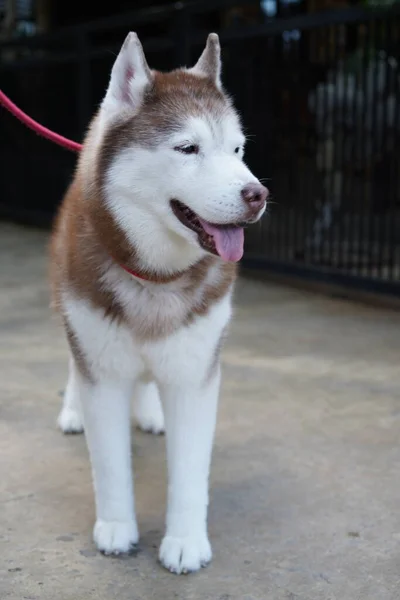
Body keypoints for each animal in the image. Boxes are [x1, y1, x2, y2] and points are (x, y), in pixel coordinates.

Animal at [50, 31, 268, 572]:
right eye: (188, 148)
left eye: (237, 149)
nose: (257, 193)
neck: (156, 276)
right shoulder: (101, 368)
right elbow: (109, 465)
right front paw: (116, 528)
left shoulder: (195, 371)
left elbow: (190, 473)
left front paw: (186, 540)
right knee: (72, 359)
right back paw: (71, 410)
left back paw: (150, 412)